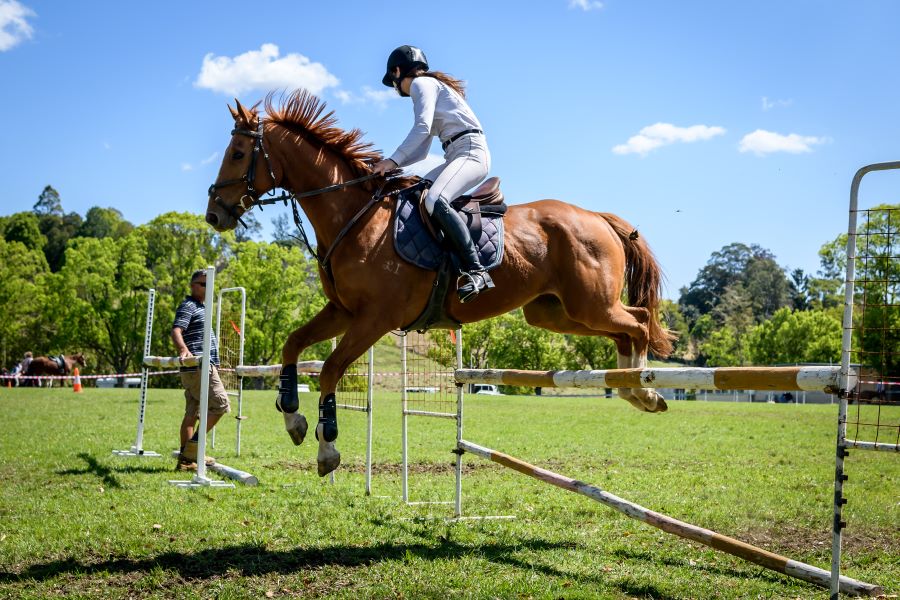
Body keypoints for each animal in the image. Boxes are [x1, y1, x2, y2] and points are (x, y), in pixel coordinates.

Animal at [206, 91, 676, 476]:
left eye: (238, 152)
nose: (214, 214)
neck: (355, 216)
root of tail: (597, 217)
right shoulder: (343, 311)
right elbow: (293, 344)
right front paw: (294, 418)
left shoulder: (375, 318)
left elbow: (330, 369)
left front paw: (327, 448)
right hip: (556, 314)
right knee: (626, 327)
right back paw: (639, 392)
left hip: (588, 305)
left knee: (637, 322)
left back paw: (644, 391)